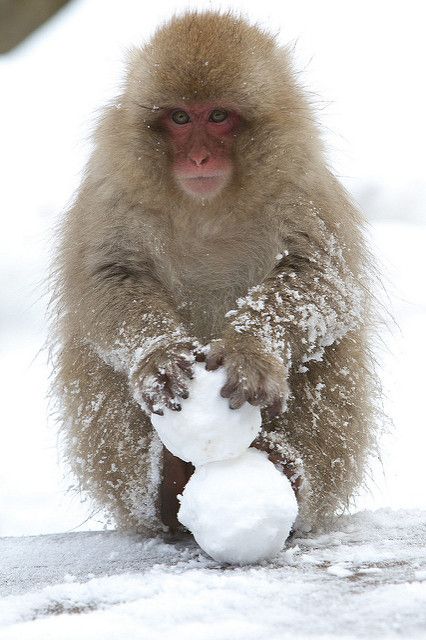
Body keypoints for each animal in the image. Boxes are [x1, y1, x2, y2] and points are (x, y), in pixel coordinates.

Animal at [50, 13, 380, 536]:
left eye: (219, 117)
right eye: (181, 118)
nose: (199, 158)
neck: (207, 206)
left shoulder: (302, 183)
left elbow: (324, 280)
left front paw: (251, 351)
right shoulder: (112, 185)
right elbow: (107, 279)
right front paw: (159, 356)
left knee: (331, 352)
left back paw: (285, 467)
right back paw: (164, 487)